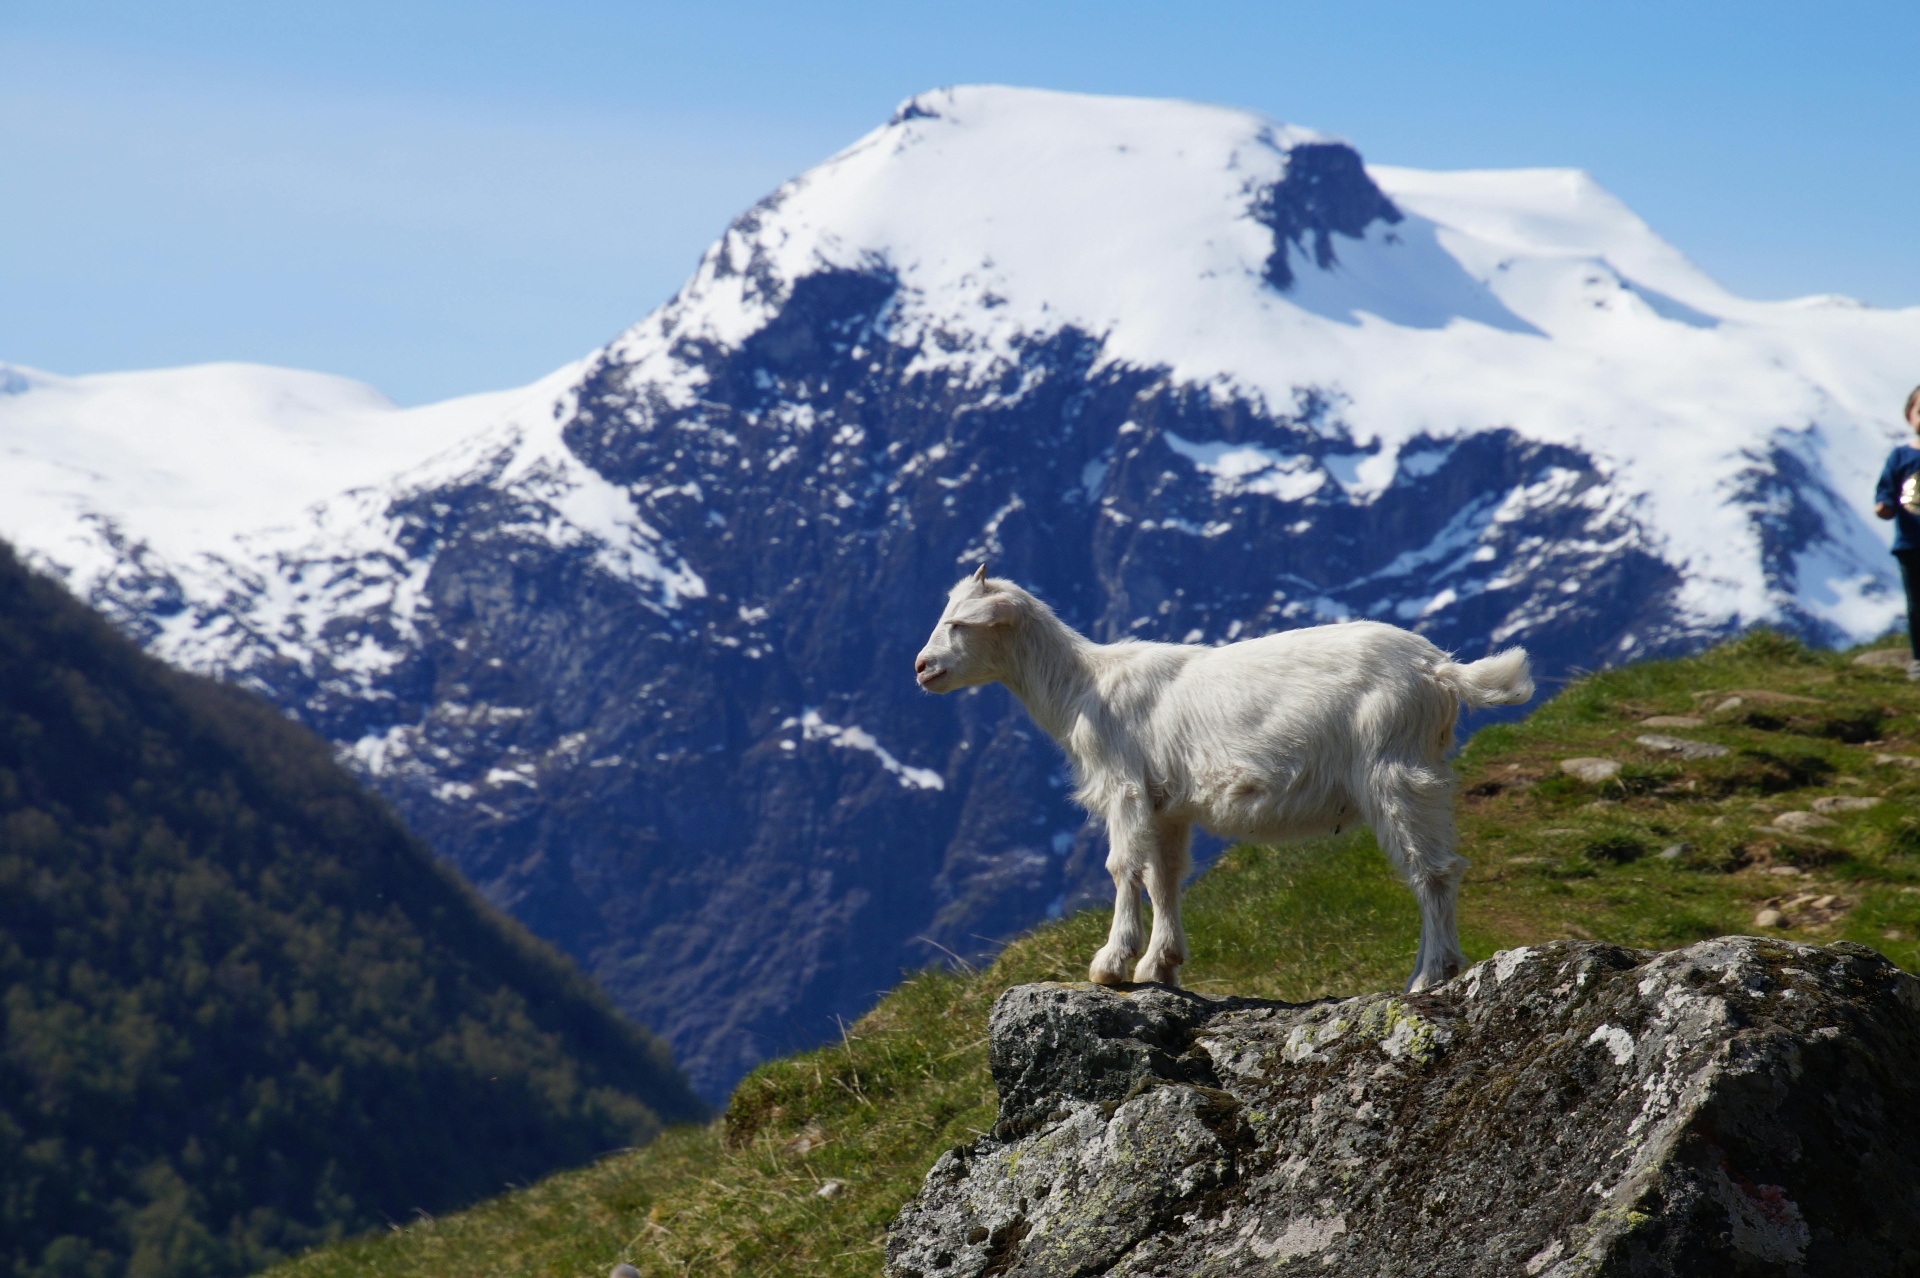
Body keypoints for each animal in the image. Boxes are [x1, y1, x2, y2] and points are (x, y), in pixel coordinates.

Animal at [913, 567, 1533, 992]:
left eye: (959, 623)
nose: (921, 667)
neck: (1084, 686)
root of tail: (1441, 671)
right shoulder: (1166, 804)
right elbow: (1163, 876)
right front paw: (1159, 964)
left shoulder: (1125, 787)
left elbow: (1122, 867)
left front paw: (1111, 964)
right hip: (1416, 769)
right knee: (1434, 867)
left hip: (1393, 770)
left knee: (1432, 872)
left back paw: (1429, 977)